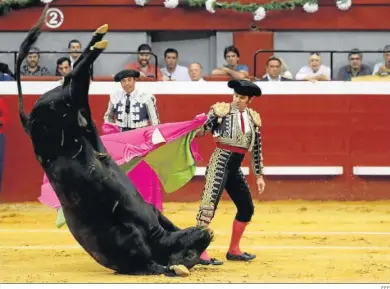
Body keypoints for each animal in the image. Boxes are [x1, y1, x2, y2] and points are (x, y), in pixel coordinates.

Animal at [16, 3, 213, 274]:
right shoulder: (134, 237)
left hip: (77, 115)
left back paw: (98, 38)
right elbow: (150, 261)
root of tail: (27, 121)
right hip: (61, 110)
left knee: (74, 83)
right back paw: (98, 41)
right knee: (75, 81)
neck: (156, 238)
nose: (206, 232)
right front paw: (168, 269)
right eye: (190, 254)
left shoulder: (154, 213)